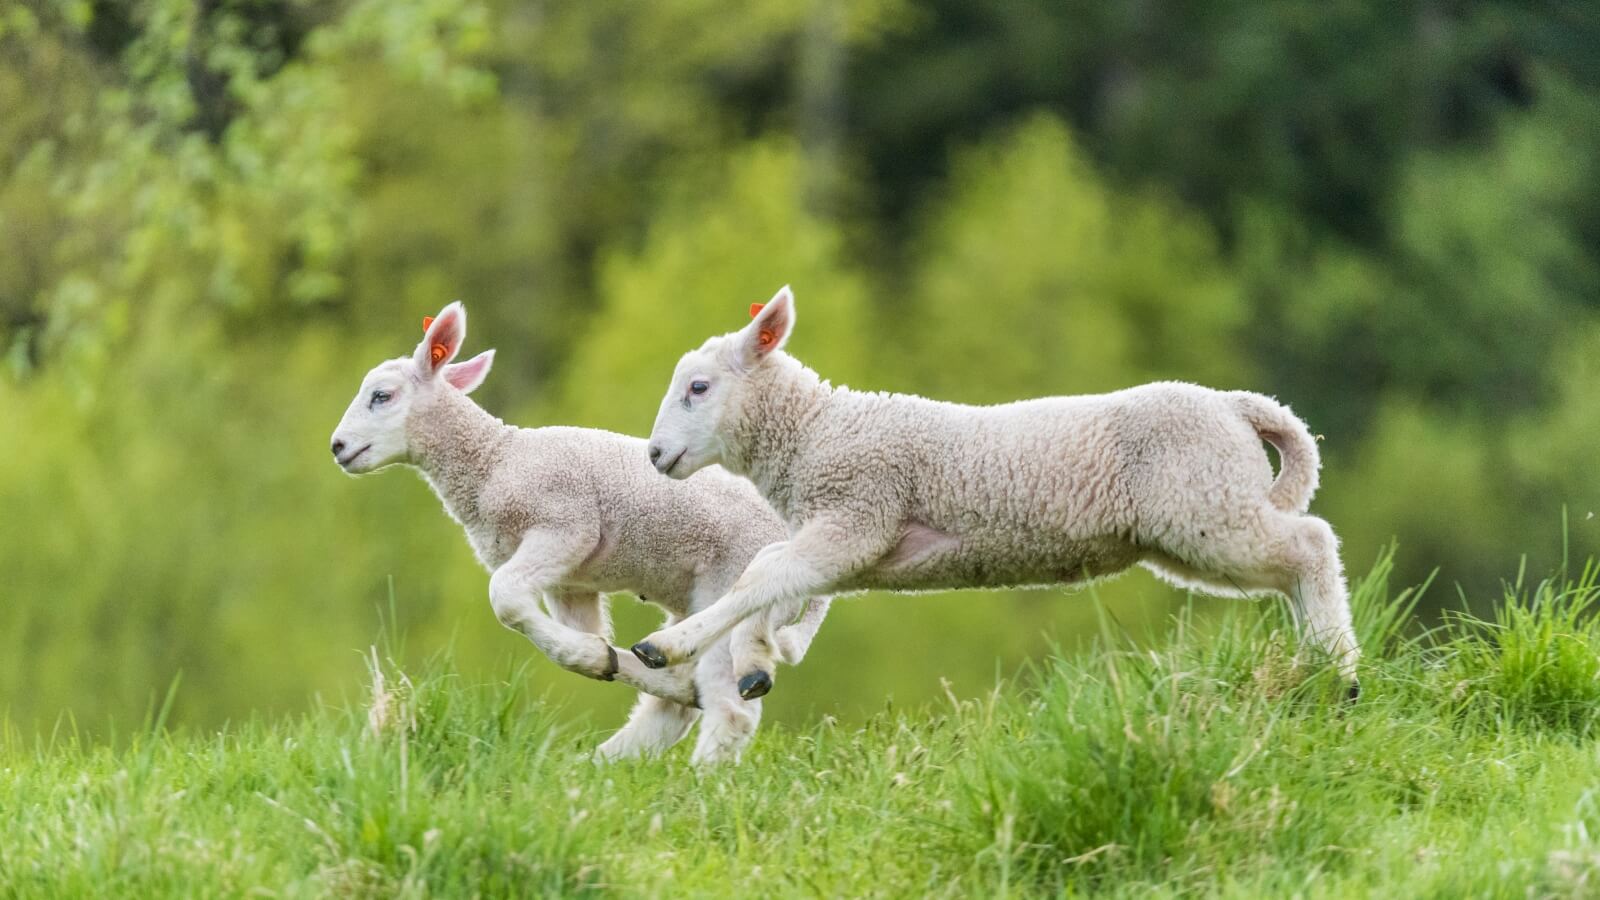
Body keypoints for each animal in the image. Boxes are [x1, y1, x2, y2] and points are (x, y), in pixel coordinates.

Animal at [320, 299, 832, 755]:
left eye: (382, 396)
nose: (337, 447)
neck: (493, 461)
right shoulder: (570, 582)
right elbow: (571, 626)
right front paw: (596, 656)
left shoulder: (565, 523)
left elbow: (505, 599)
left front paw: (593, 656)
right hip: (697, 600)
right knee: (679, 699)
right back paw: (610, 756)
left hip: (733, 585)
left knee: (730, 709)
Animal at [630, 283, 1356, 698]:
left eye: (698, 387)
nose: (656, 455)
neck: (815, 430)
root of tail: (1237, 406)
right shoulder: (853, 543)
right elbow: (773, 577)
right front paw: (756, 661)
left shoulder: (858, 512)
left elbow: (761, 576)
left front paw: (668, 647)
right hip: (1195, 521)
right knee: (1291, 564)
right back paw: (1315, 668)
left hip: (1205, 505)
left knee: (1312, 544)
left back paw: (1342, 675)